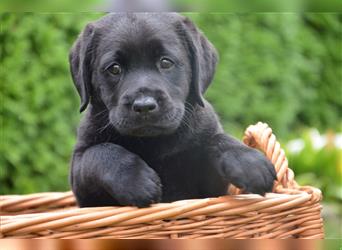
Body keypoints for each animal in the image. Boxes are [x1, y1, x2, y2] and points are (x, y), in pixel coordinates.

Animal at [69, 12, 278, 208]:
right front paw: (136, 181)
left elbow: (217, 139)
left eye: (166, 62)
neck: (154, 143)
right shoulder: (80, 177)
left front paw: (249, 162)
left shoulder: (211, 186)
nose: (144, 106)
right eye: (114, 68)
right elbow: (99, 153)